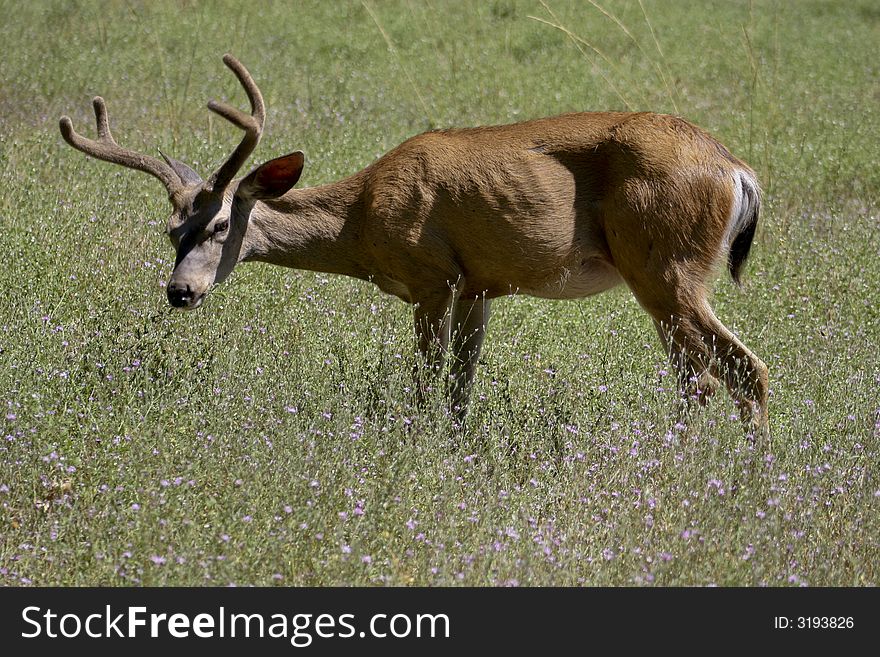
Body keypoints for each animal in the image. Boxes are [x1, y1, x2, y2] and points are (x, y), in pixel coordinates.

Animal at [60, 55, 768, 436]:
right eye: (171, 232)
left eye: (215, 228)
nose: (180, 291)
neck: (365, 217)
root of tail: (735, 169)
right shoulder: (479, 285)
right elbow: (460, 385)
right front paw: (453, 449)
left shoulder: (431, 277)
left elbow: (427, 382)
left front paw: (413, 445)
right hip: (666, 274)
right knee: (703, 375)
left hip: (663, 263)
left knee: (739, 371)